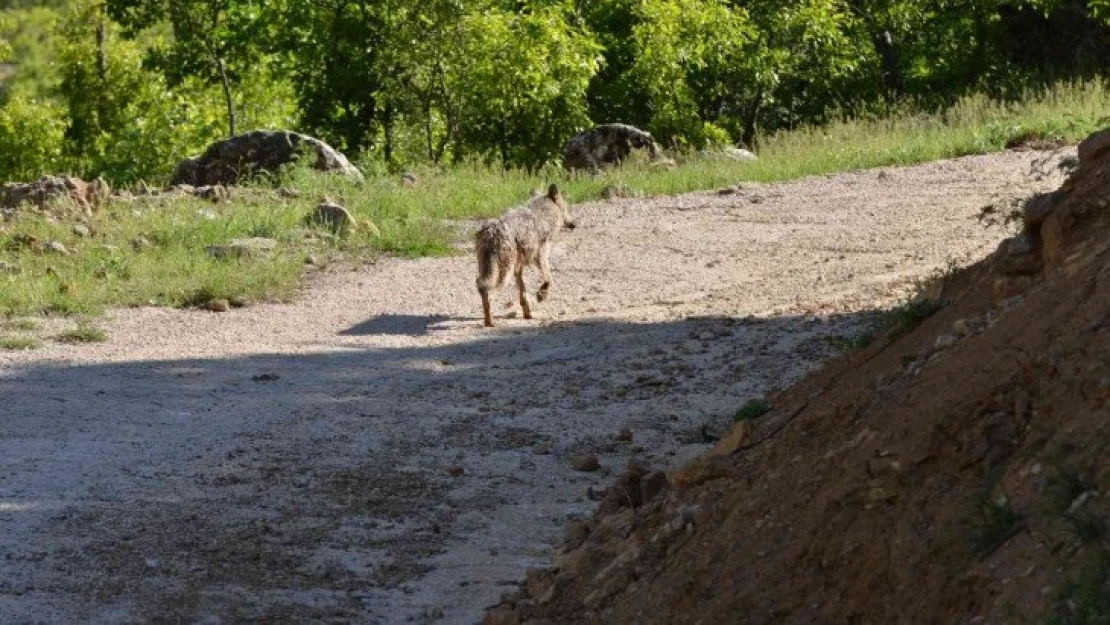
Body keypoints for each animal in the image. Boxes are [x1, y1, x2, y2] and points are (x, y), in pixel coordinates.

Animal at [475, 184, 577, 328]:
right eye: (566, 207)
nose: (574, 224)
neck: (544, 214)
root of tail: (491, 233)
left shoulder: (519, 268)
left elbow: (523, 292)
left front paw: (527, 313)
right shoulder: (541, 255)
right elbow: (549, 278)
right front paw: (541, 295)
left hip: (490, 268)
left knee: (480, 283)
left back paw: (488, 319)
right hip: (504, 272)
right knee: (486, 288)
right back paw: (490, 321)